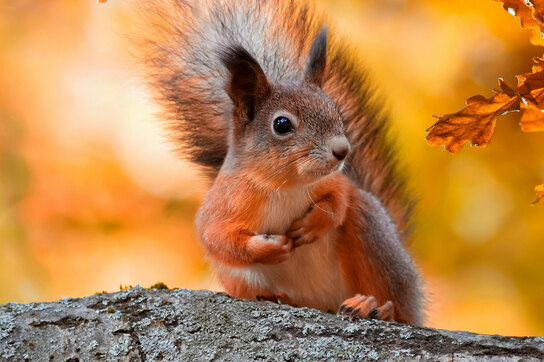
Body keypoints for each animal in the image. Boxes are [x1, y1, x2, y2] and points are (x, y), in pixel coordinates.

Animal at [133, 0, 424, 326]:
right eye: (282, 124)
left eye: (335, 110)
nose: (343, 151)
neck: (285, 185)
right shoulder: (220, 207)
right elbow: (219, 240)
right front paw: (271, 248)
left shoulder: (335, 180)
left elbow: (340, 198)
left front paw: (313, 224)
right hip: (239, 279)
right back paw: (279, 298)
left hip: (375, 237)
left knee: (398, 305)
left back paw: (376, 307)